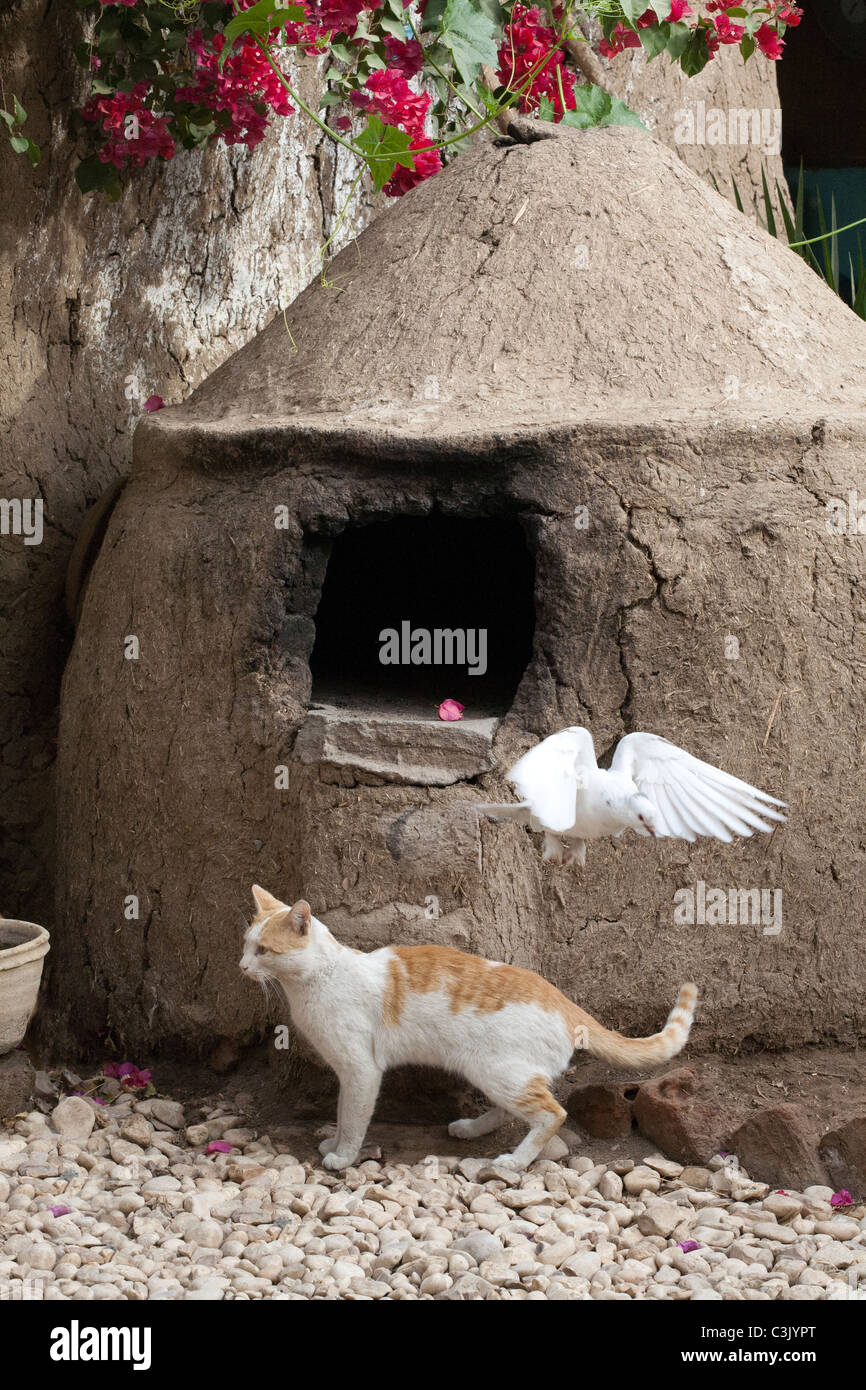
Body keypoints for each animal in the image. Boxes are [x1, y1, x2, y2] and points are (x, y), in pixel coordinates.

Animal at [239, 884, 697, 1167]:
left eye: (264, 950)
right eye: (245, 944)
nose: (241, 966)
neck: (319, 978)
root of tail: (566, 1003)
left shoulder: (360, 1071)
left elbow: (352, 1117)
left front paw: (342, 1154)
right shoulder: (349, 1073)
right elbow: (340, 1114)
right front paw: (333, 1143)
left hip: (496, 1070)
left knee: (552, 1113)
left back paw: (514, 1162)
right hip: (491, 1071)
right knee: (513, 1108)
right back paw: (470, 1128)